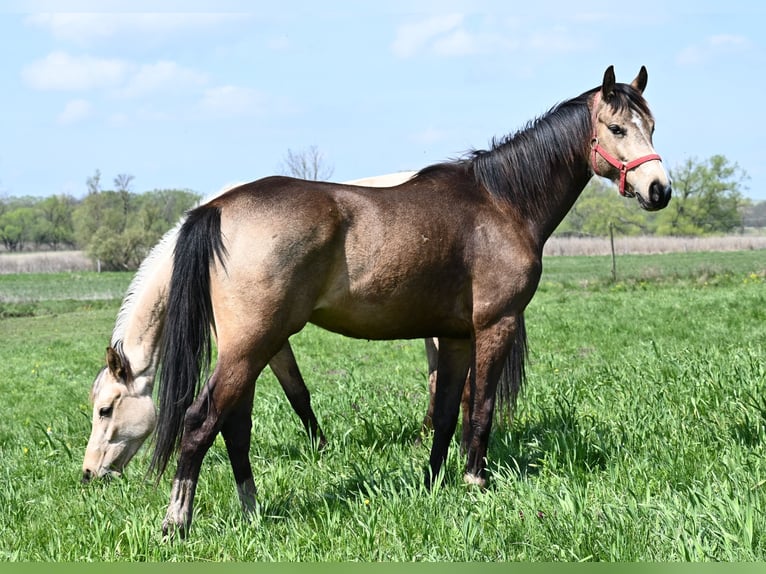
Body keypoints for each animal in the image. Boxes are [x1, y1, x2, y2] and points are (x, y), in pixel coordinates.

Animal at [114, 66, 673, 538]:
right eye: (616, 128)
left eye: (651, 125)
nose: (659, 189)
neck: (501, 201)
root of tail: (217, 207)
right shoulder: (496, 325)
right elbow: (482, 407)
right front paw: (475, 483)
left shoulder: (454, 336)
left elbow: (446, 413)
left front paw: (433, 483)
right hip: (253, 344)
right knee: (200, 422)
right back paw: (177, 523)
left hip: (253, 347)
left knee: (233, 424)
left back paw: (252, 511)